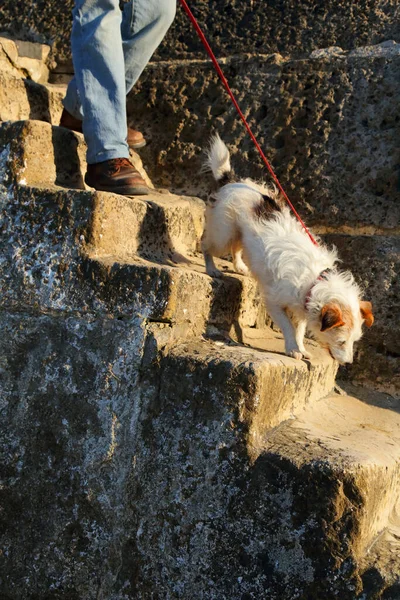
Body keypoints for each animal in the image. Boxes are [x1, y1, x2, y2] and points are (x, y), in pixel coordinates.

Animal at [202, 135, 374, 360]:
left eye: (354, 341)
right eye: (341, 341)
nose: (347, 363)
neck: (315, 280)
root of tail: (232, 181)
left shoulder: (302, 308)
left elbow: (299, 329)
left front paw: (300, 347)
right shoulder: (274, 302)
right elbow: (288, 327)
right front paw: (292, 348)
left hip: (238, 232)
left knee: (237, 248)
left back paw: (240, 267)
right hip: (223, 233)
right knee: (206, 244)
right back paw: (211, 268)